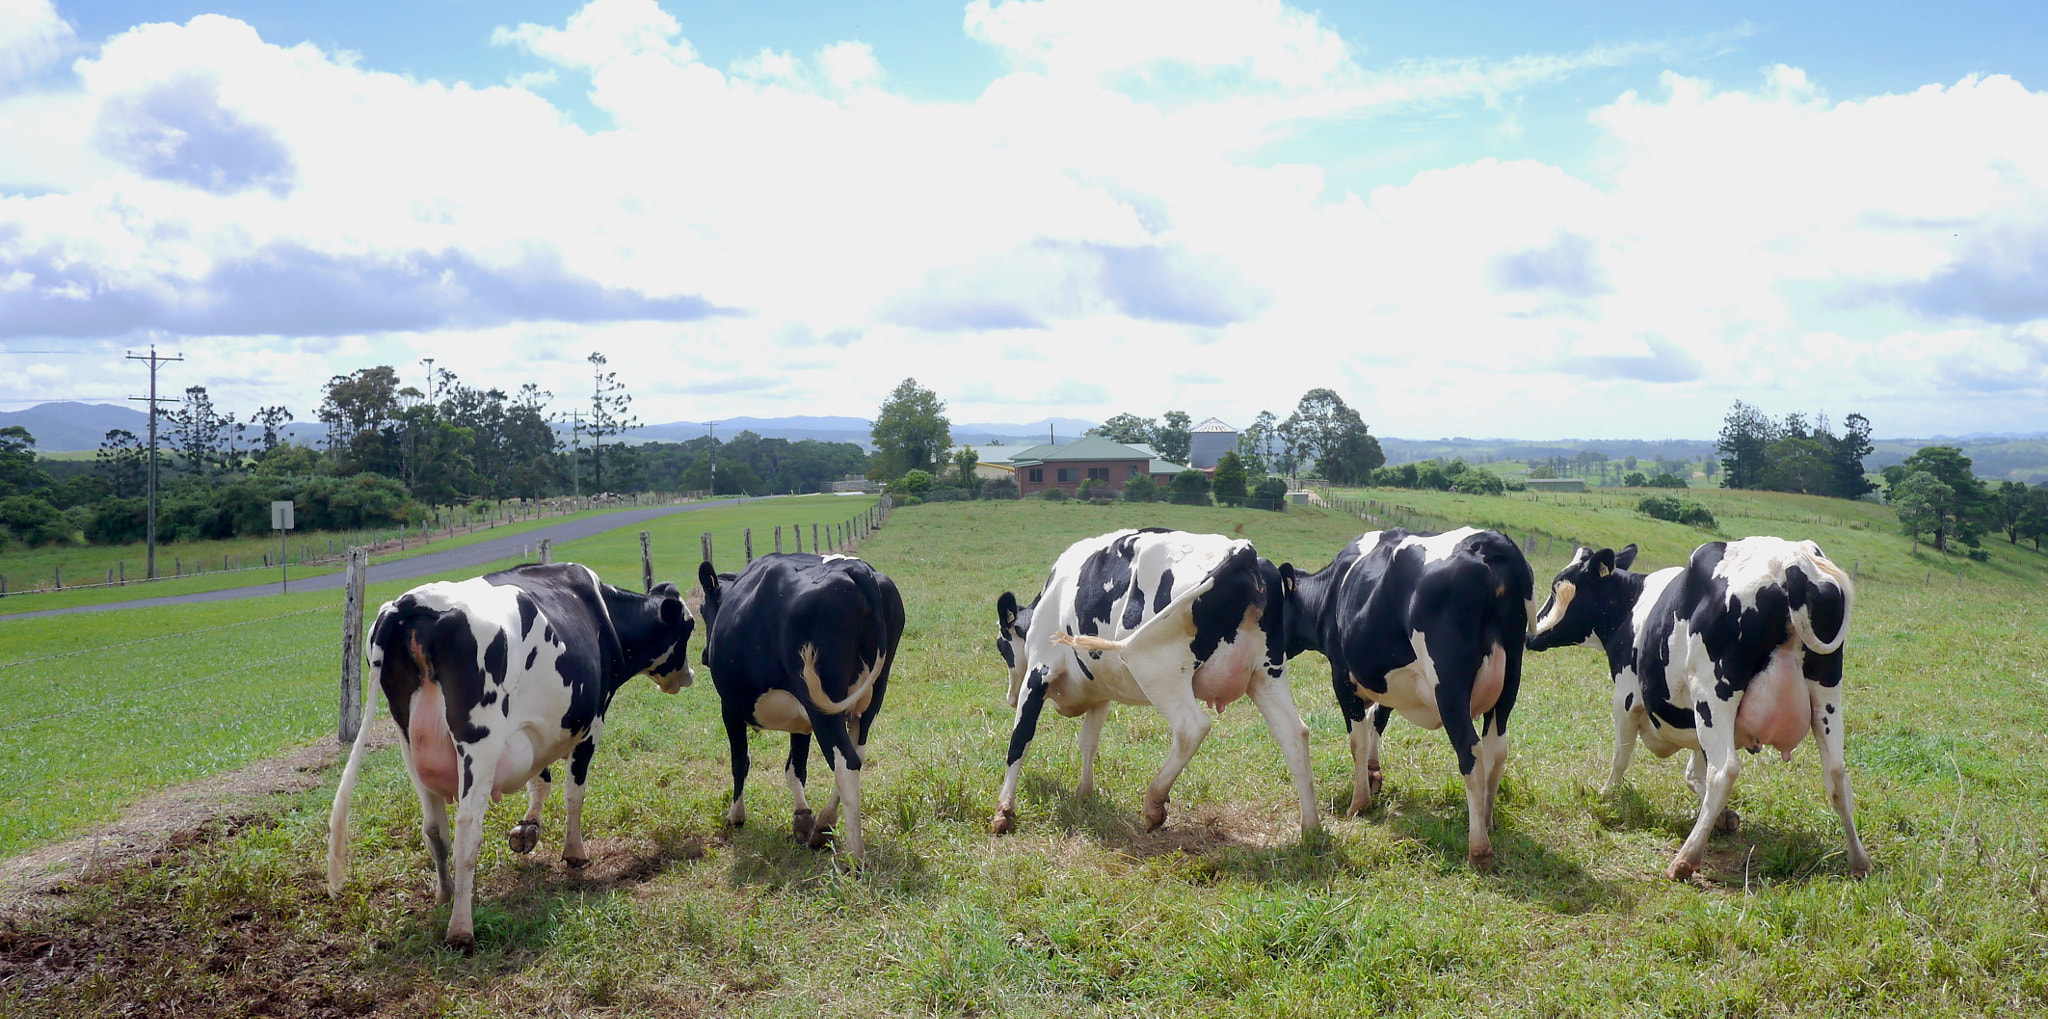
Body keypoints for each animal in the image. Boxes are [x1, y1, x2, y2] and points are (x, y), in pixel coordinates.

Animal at [327, 560, 696, 945]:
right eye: (689, 627)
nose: (690, 674)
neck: (603, 614)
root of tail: (410, 603)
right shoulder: (592, 723)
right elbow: (573, 793)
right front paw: (574, 853)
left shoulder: (533, 730)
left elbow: (540, 779)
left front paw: (528, 829)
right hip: (480, 740)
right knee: (467, 828)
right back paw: (461, 928)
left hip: (409, 742)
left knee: (434, 828)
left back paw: (445, 895)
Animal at [696, 552, 905, 863]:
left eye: (701, 609)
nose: (703, 655)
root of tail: (855, 568)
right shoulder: (801, 721)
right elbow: (795, 767)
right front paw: (803, 818)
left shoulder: (729, 707)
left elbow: (740, 761)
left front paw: (736, 816)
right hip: (871, 697)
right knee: (858, 754)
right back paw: (824, 826)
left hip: (822, 707)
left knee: (846, 763)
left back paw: (854, 856)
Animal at [995, 527, 1318, 830]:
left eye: (1001, 645)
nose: (1009, 698)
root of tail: (1243, 550)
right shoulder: (1100, 691)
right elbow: (1088, 742)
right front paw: (1084, 792)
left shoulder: (1038, 674)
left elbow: (1020, 739)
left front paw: (1003, 811)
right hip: (1267, 675)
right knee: (1294, 733)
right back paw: (1310, 828)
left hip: (1157, 669)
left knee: (1191, 727)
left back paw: (1154, 802)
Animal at [1277, 523, 1540, 867]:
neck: (1331, 591)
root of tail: (1488, 542)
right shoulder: (1387, 682)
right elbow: (1377, 720)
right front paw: (1374, 775)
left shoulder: (1342, 678)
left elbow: (1357, 740)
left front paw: (1359, 802)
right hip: (1509, 683)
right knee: (1497, 750)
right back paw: (1485, 819)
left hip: (1450, 687)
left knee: (1471, 751)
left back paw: (1478, 847)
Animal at [1523, 536, 1875, 879]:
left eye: (1556, 587)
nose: (1530, 634)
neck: (1631, 606)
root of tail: (1792, 563)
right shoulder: (1694, 720)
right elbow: (1694, 773)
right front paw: (1725, 819)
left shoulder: (1626, 697)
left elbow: (1622, 758)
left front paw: (1605, 794)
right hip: (1825, 694)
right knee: (1836, 773)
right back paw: (1859, 861)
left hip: (1713, 691)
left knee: (1725, 770)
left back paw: (1684, 860)